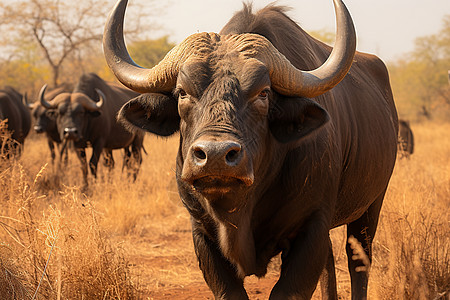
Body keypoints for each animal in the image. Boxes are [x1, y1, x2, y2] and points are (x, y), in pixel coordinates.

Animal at [103, 1, 400, 298]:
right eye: (182, 92)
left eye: (263, 93)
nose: (215, 156)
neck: (240, 211)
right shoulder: (201, 234)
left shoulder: (312, 227)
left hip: (371, 207)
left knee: (358, 262)